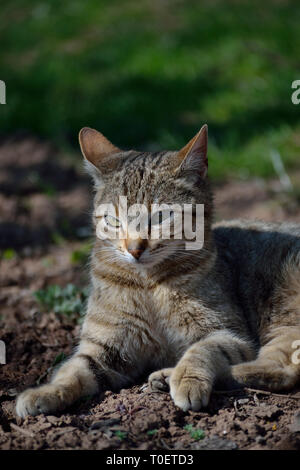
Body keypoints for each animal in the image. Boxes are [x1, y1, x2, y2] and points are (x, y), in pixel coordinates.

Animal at [16, 125, 300, 418]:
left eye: (160, 217)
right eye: (113, 220)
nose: (134, 249)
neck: (148, 285)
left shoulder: (230, 333)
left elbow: (203, 349)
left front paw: (187, 378)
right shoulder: (103, 346)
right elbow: (72, 370)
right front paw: (45, 392)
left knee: (279, 369)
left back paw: (177, 375)